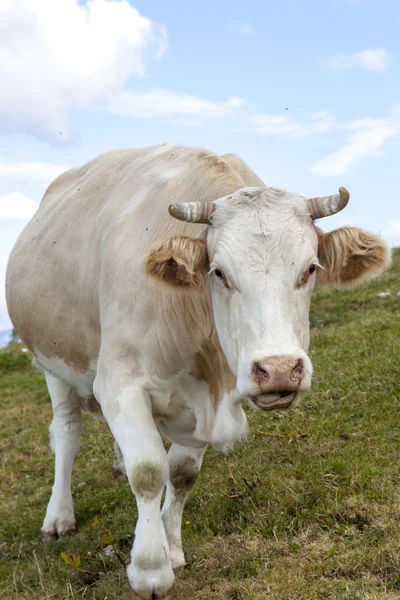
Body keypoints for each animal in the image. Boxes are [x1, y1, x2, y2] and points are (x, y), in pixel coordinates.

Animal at [4, 143, 390, 596]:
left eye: (310, 268)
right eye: (219, 272)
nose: (278, 369)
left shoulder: (209, 398)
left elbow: (181, 472)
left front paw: (170, 547)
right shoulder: (119, 381)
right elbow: (148, 471)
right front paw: (150, 569)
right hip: (53, 363)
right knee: (66, 433)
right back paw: (58, 516)